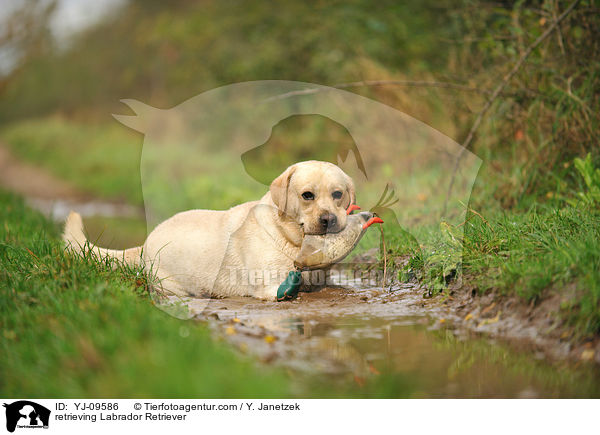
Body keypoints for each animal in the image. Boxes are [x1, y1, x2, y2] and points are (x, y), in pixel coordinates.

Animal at [64, 160, 356, 300]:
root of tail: (144, 244)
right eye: (307, 195)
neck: (289, 236)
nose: (329, 219)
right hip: (172, 283)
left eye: (337, 194)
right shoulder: (270, 286)